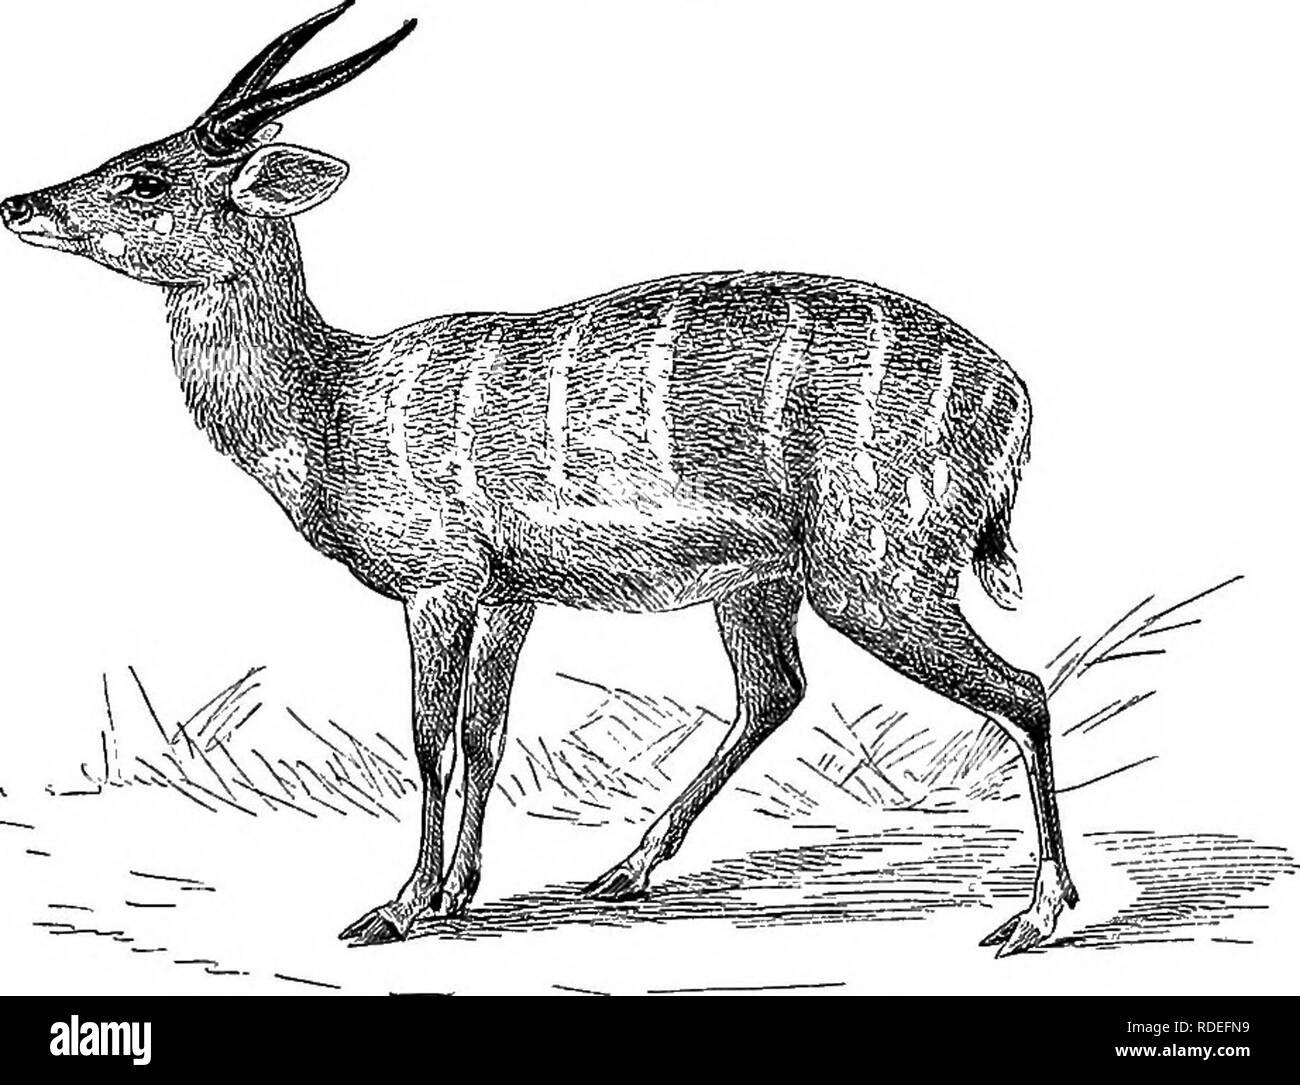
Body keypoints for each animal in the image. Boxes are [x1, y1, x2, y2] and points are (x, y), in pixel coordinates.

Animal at [2, 1, 1077, 955]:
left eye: (146, 178)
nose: (20, 203)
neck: (328, 409)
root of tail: (1018, 405)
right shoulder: (512, 585)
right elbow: (487, 729)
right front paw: (458, 892)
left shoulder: (438, 575)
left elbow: (428, 733)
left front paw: (394, 908)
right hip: (768, 577)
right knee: (775, 689)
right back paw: (623, 869)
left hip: (879, 568)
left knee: (1022, 689)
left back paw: (1034, 916)